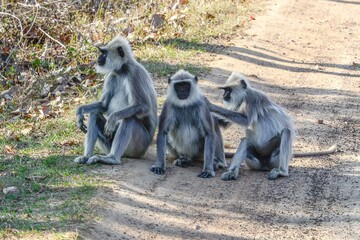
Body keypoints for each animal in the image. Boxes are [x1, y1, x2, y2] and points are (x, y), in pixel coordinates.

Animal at [74, 36, 157, 165]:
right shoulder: (112, 76)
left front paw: (112, 118)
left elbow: (143, 106)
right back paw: (87, 156)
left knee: (130, 119)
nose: (98, 58)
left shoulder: (134, 74)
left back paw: (112, 158)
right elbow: (104, 106)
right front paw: (80, 111)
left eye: (104, 53)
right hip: (108, 143)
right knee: (95, 114)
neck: (122, 70)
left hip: (139, 147)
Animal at [208, 71, 338, 180]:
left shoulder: (252, 99)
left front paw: (210, 105)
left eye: (228, 90)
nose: (224, 95)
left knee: (286, 132)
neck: (245, 95)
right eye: (224, 90)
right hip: (254, 161)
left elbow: (246, 121)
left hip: (274, 158)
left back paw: (282, 171)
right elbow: (226, 124)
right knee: (245, 141)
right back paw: (232, 172)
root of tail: (264, 165)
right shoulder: (239, 104)